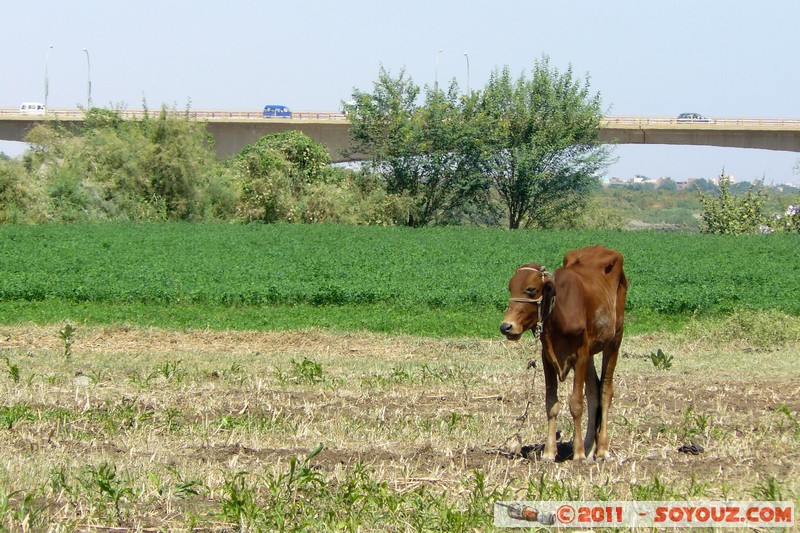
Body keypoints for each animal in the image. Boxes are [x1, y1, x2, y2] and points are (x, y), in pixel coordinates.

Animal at [499, 245, 628, 462]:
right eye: (511, 288)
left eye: (531, 289)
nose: (506, 327)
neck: (560, 313)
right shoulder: (548, 358)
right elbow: (551, 404)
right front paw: (549, 452)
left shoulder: (581, 356)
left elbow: (576, 404)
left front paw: (578, 454)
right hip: (592, 352)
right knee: (593, 391)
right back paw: (589, 446)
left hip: (614, 341)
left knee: (605, 391)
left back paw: (601, 449)